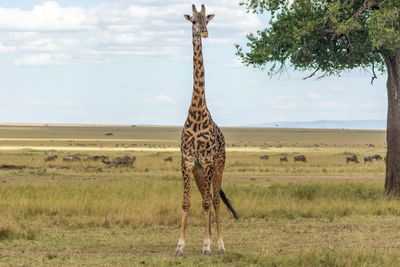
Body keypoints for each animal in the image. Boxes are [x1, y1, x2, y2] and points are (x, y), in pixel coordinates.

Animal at [174, 4, 238, 258]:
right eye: (193, 20)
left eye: (207, 21)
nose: (204, 32)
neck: (197, 114)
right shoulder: (188, 162)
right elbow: (186, 203)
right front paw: (180, 247)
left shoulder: (209, 161)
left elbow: (209, 203)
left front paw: (207, 245)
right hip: (200, 173)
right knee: (206, 197)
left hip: (218, 166)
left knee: (215, 201)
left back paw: (219, 245)